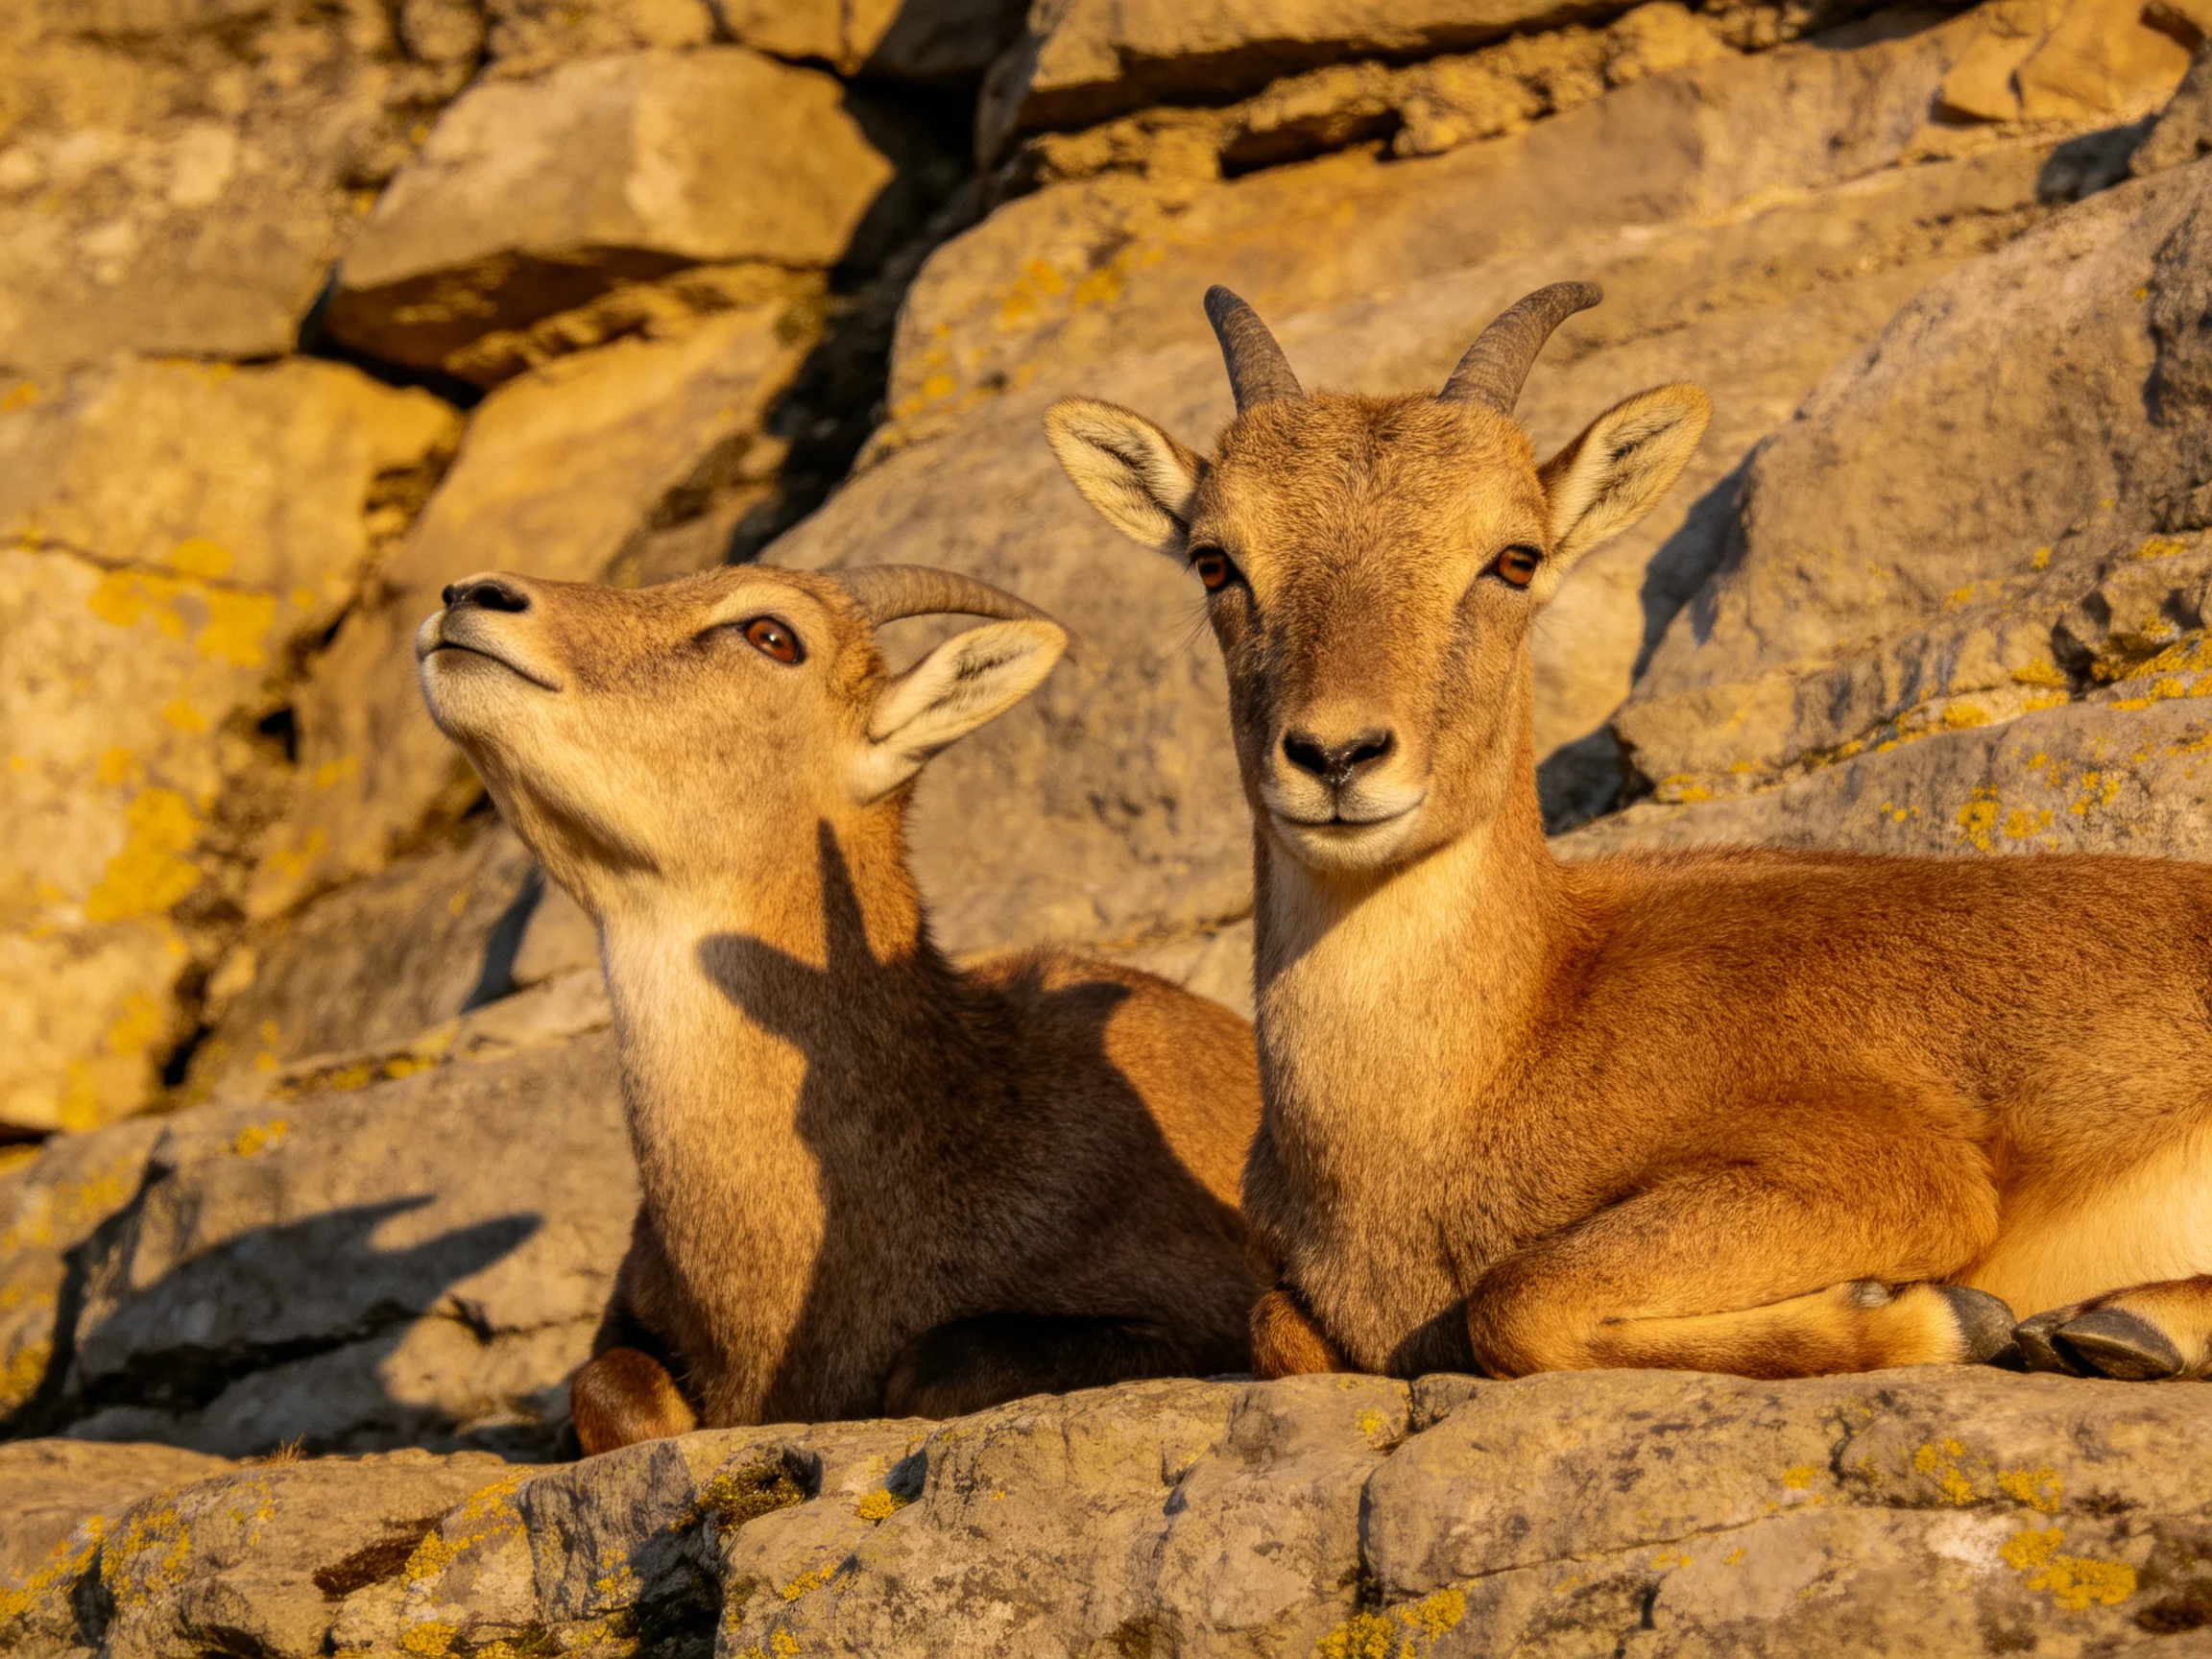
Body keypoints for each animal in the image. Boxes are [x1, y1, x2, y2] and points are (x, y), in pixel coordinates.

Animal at [1044, 282, 2212, 1385]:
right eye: (1215, 560)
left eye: (1514, 558)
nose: (1336, 756)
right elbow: (1277, 1326)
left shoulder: (1889, 1166)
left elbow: (1523, 1299)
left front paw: (1947, 1317)